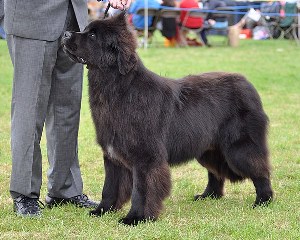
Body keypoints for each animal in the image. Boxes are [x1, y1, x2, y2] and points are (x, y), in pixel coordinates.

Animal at [62, 11, 274, 225]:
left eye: (92, 36)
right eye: (87, 30)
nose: (65, 34)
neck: (117, 87)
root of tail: (247, 83)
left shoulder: (146, 157)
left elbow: (141, 190)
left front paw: (136, 218)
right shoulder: (112, 155)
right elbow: (110, 188)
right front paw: (102, 210)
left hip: (239, 147)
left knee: (260, 170)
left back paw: (263, 200)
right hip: (208, 148)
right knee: (216, 172)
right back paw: (209, 195)